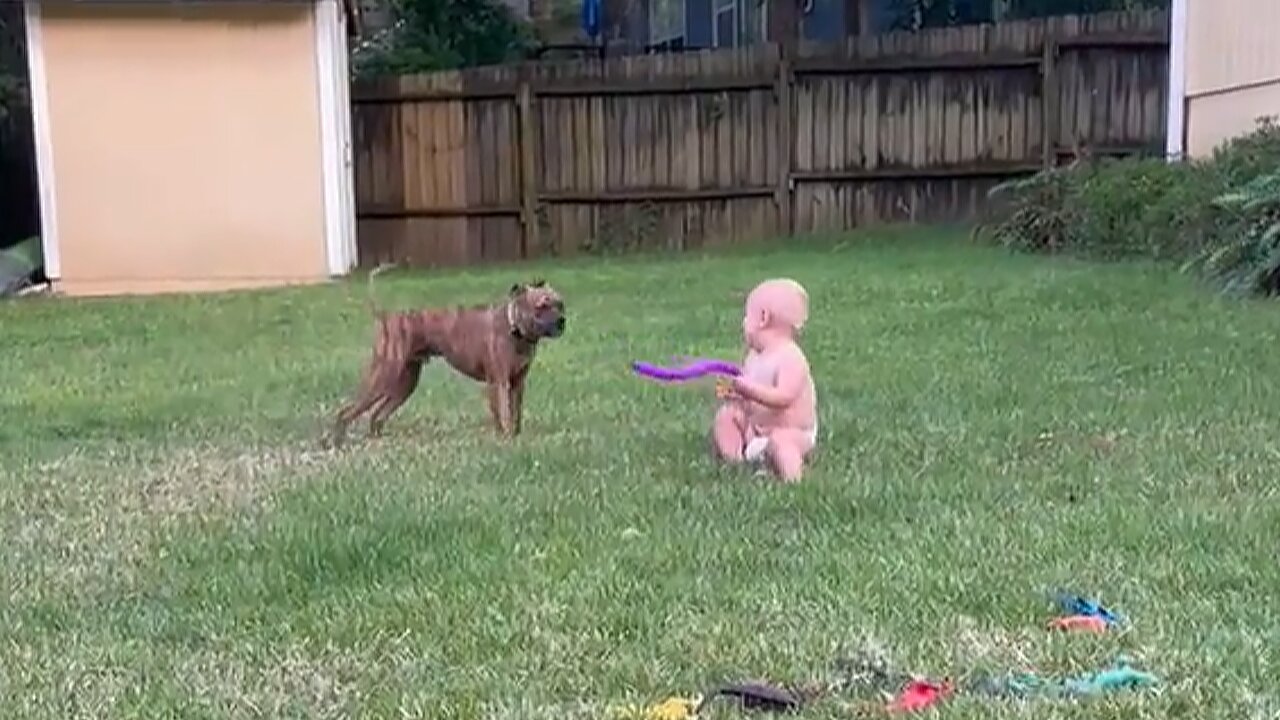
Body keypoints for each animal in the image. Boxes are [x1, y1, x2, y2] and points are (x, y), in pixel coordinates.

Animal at [330, 263, 565, 443]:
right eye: (542, 307)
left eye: (560, 304)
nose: (562, 320)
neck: (514, 326)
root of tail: (385, 316)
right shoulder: (499, 383)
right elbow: (504, 415)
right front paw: (506, 439)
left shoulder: (517, 384)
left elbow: (516, 414)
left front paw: (515, 437)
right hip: (383, 376)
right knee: (346, 412)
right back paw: (337, 442)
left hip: (405, 383)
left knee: (377, 415)